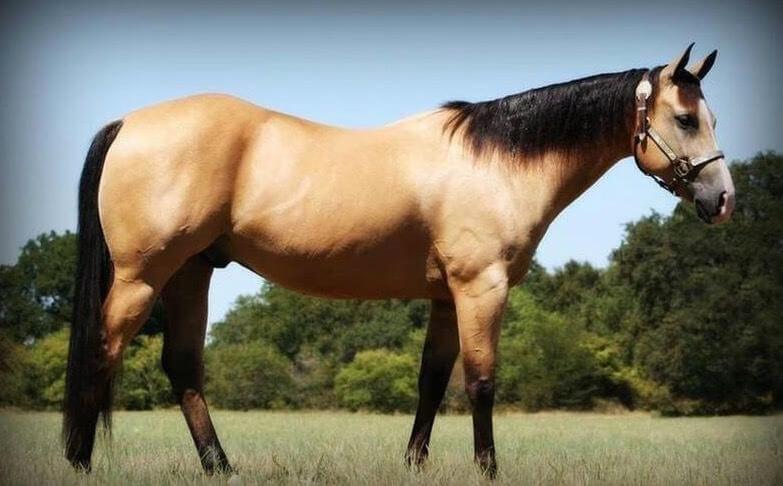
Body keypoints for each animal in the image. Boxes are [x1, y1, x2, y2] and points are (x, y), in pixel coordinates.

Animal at [63, 44, 734, 477]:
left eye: (710, 116)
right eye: (684, 118)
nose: (722, 199)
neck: (496, 162)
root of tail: (127, 123)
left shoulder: (444, 296)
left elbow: (432, 380)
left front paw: (415, 462)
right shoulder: (481, 288)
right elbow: (481, 380)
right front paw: (488, 468)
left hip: (191, 273)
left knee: (182, 368)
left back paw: (220, 467)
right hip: (143, 277)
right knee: (103, 350)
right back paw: (80, 460)